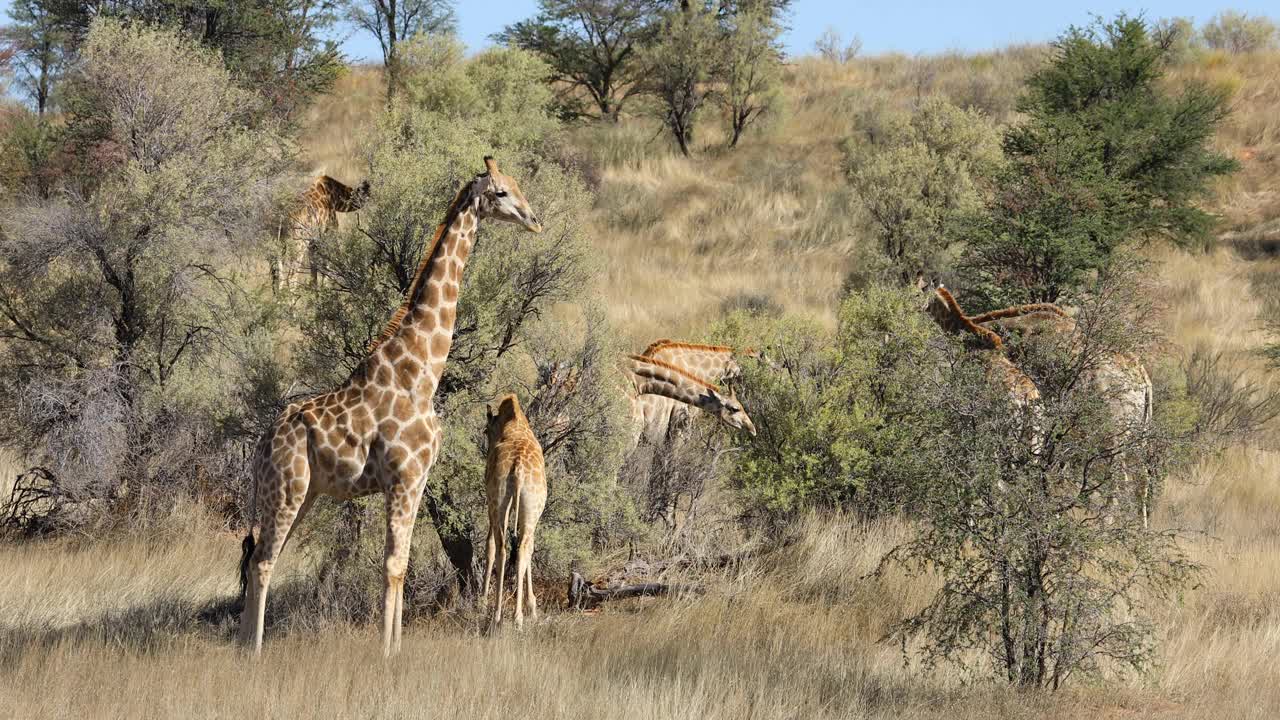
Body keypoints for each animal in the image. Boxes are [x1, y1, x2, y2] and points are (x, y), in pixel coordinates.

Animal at [478, 389, 542, 630]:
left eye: (486, 430)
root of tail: (518, 469)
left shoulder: (490, 503)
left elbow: (488, 546)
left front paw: (481, 602)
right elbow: (529, 549)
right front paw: (532, 607)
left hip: (501, 504)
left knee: (503, 547)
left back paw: (500, 615)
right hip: (530, 508)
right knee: (521, 548)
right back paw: (516, 618)